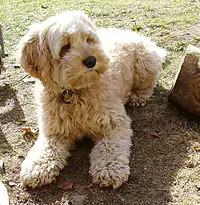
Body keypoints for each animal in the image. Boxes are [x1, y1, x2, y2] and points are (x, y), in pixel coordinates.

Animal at [18, 10, 166, 189]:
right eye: (65, 47)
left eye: (88, 39)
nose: (91, 60)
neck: (75, 92)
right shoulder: (55, 131)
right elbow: (46, 148)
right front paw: (36, 167)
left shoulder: (114, 124)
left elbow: (111, 147)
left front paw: (109, 168)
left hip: (144, 65)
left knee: (149, 84)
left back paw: (137, 96)